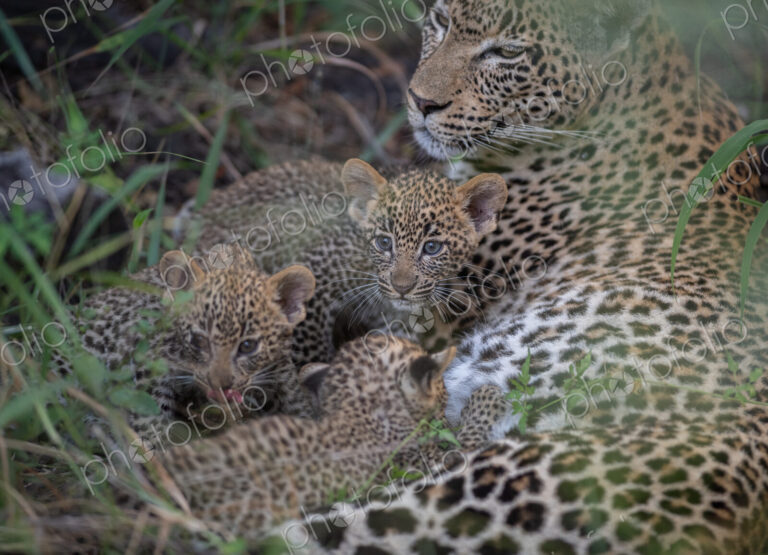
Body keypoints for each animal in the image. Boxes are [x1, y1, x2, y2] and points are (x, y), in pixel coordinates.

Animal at [49, 246, 316, 445]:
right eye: (198, 340)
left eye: (248, 346)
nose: (220, 385)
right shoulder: (148, 368)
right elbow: (150, 422)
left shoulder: (281, 364)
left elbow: (294, 396)